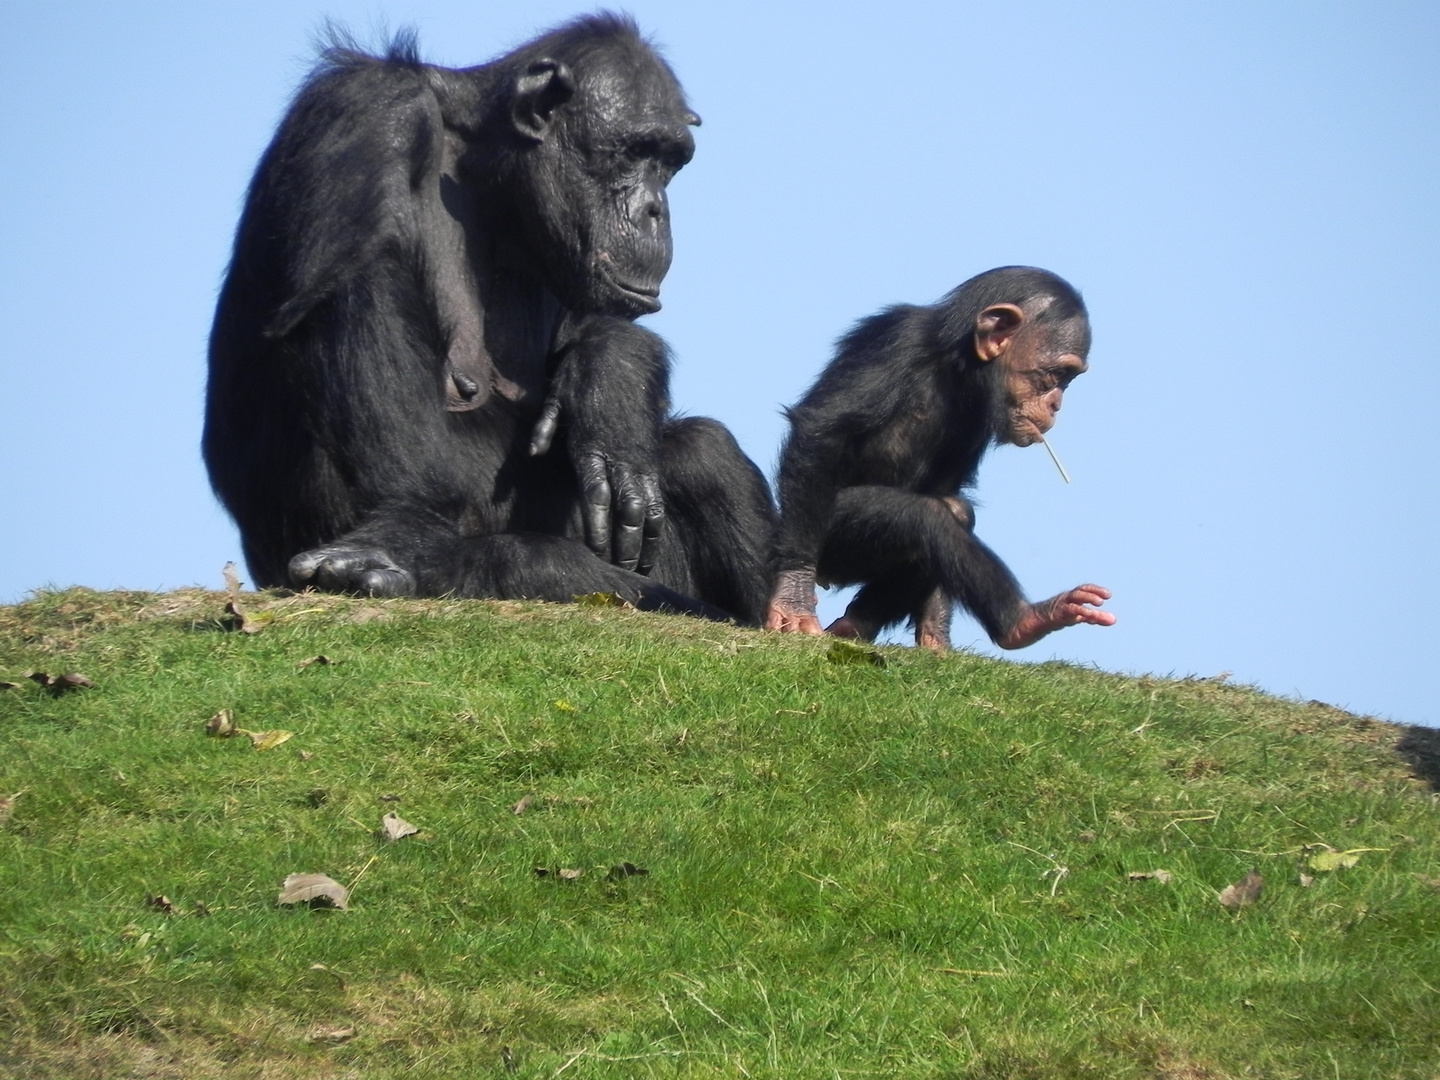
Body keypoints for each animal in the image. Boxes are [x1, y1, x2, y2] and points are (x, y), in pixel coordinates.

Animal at [203, 12, 777, 622]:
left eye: (671, 163)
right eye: (632, 152)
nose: (654, 209)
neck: (486, 175)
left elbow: (593, 330)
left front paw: (611, 385)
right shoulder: (370, 106)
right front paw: (407, 541)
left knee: (703, 452)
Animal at [766, 266, 1111, 656]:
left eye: (1068, 380)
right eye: (1055, 375)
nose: (1056, 404)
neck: (956, 366)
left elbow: (946, 487)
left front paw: (935, 631)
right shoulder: (896, 339)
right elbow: (824, 431)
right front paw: (794, 593)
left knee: (952, 511)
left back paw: (853, 626)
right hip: (831, 539)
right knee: (926, 516)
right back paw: (1025, 621)